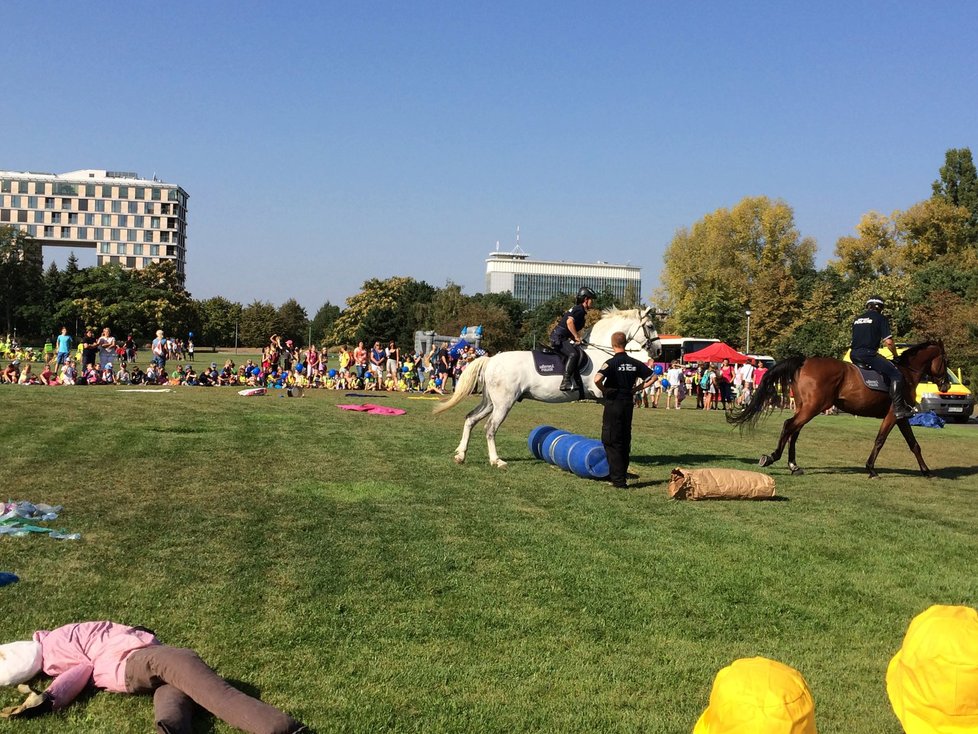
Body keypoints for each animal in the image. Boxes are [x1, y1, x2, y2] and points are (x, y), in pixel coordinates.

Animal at [430, 308, 660, 468]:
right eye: (650, 326)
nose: (657, 351)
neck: (600, 352)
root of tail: (491, 359)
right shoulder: (601, 393)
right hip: (503, 403)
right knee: (490, 428)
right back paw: (497, 460)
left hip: (490, 402)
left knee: (470, 419)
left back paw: (461, 455)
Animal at [728, 342, 948, 480]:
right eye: (945, 360)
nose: (945, 385)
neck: (906, 374)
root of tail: (804, 361)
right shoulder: (893, 415)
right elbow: (880, 440)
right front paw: (871, 469)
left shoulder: (901, 417)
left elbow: (913, 444)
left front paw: (926, 471)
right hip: (813, 407)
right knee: (789, 426)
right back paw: (773, 457)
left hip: (804, 406)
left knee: (794, 430)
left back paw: (794, 466)